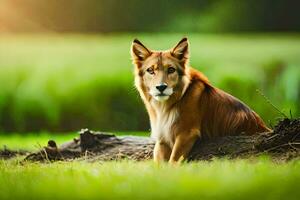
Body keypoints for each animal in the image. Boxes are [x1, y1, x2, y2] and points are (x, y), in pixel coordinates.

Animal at [130, 37, 270, 164]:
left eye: (171, 69)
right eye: (150, 70)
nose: (161, 87)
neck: (169, 104)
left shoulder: (187, 134)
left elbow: (173, 162)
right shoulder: (162, 139)